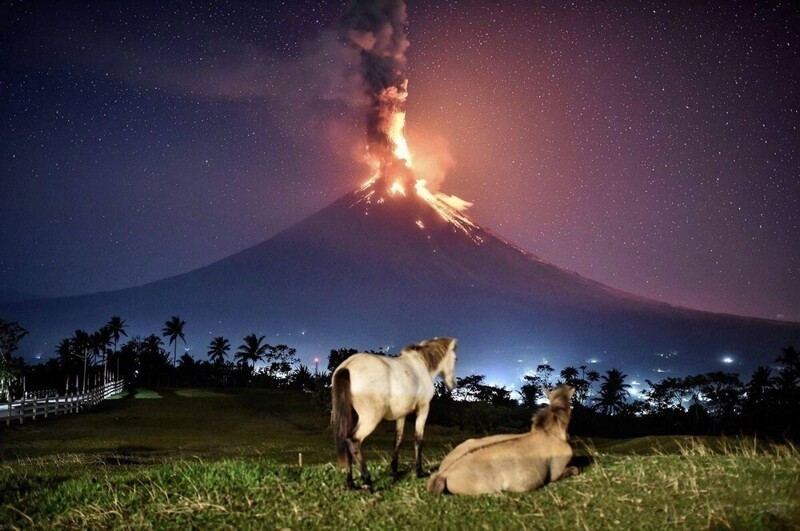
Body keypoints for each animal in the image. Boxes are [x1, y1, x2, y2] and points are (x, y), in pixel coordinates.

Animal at [330, 338, 456, 492]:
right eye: (455, 358)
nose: (453, 385)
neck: (420, 364)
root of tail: (347, 366)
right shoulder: (423, 409)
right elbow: (418, 440)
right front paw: (419, 472)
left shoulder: (401, 415)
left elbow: (398, 440)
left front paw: (394, 470)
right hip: (370, 419)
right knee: (353, 441)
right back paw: (367, 481)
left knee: (345, 440)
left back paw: (350, 484)